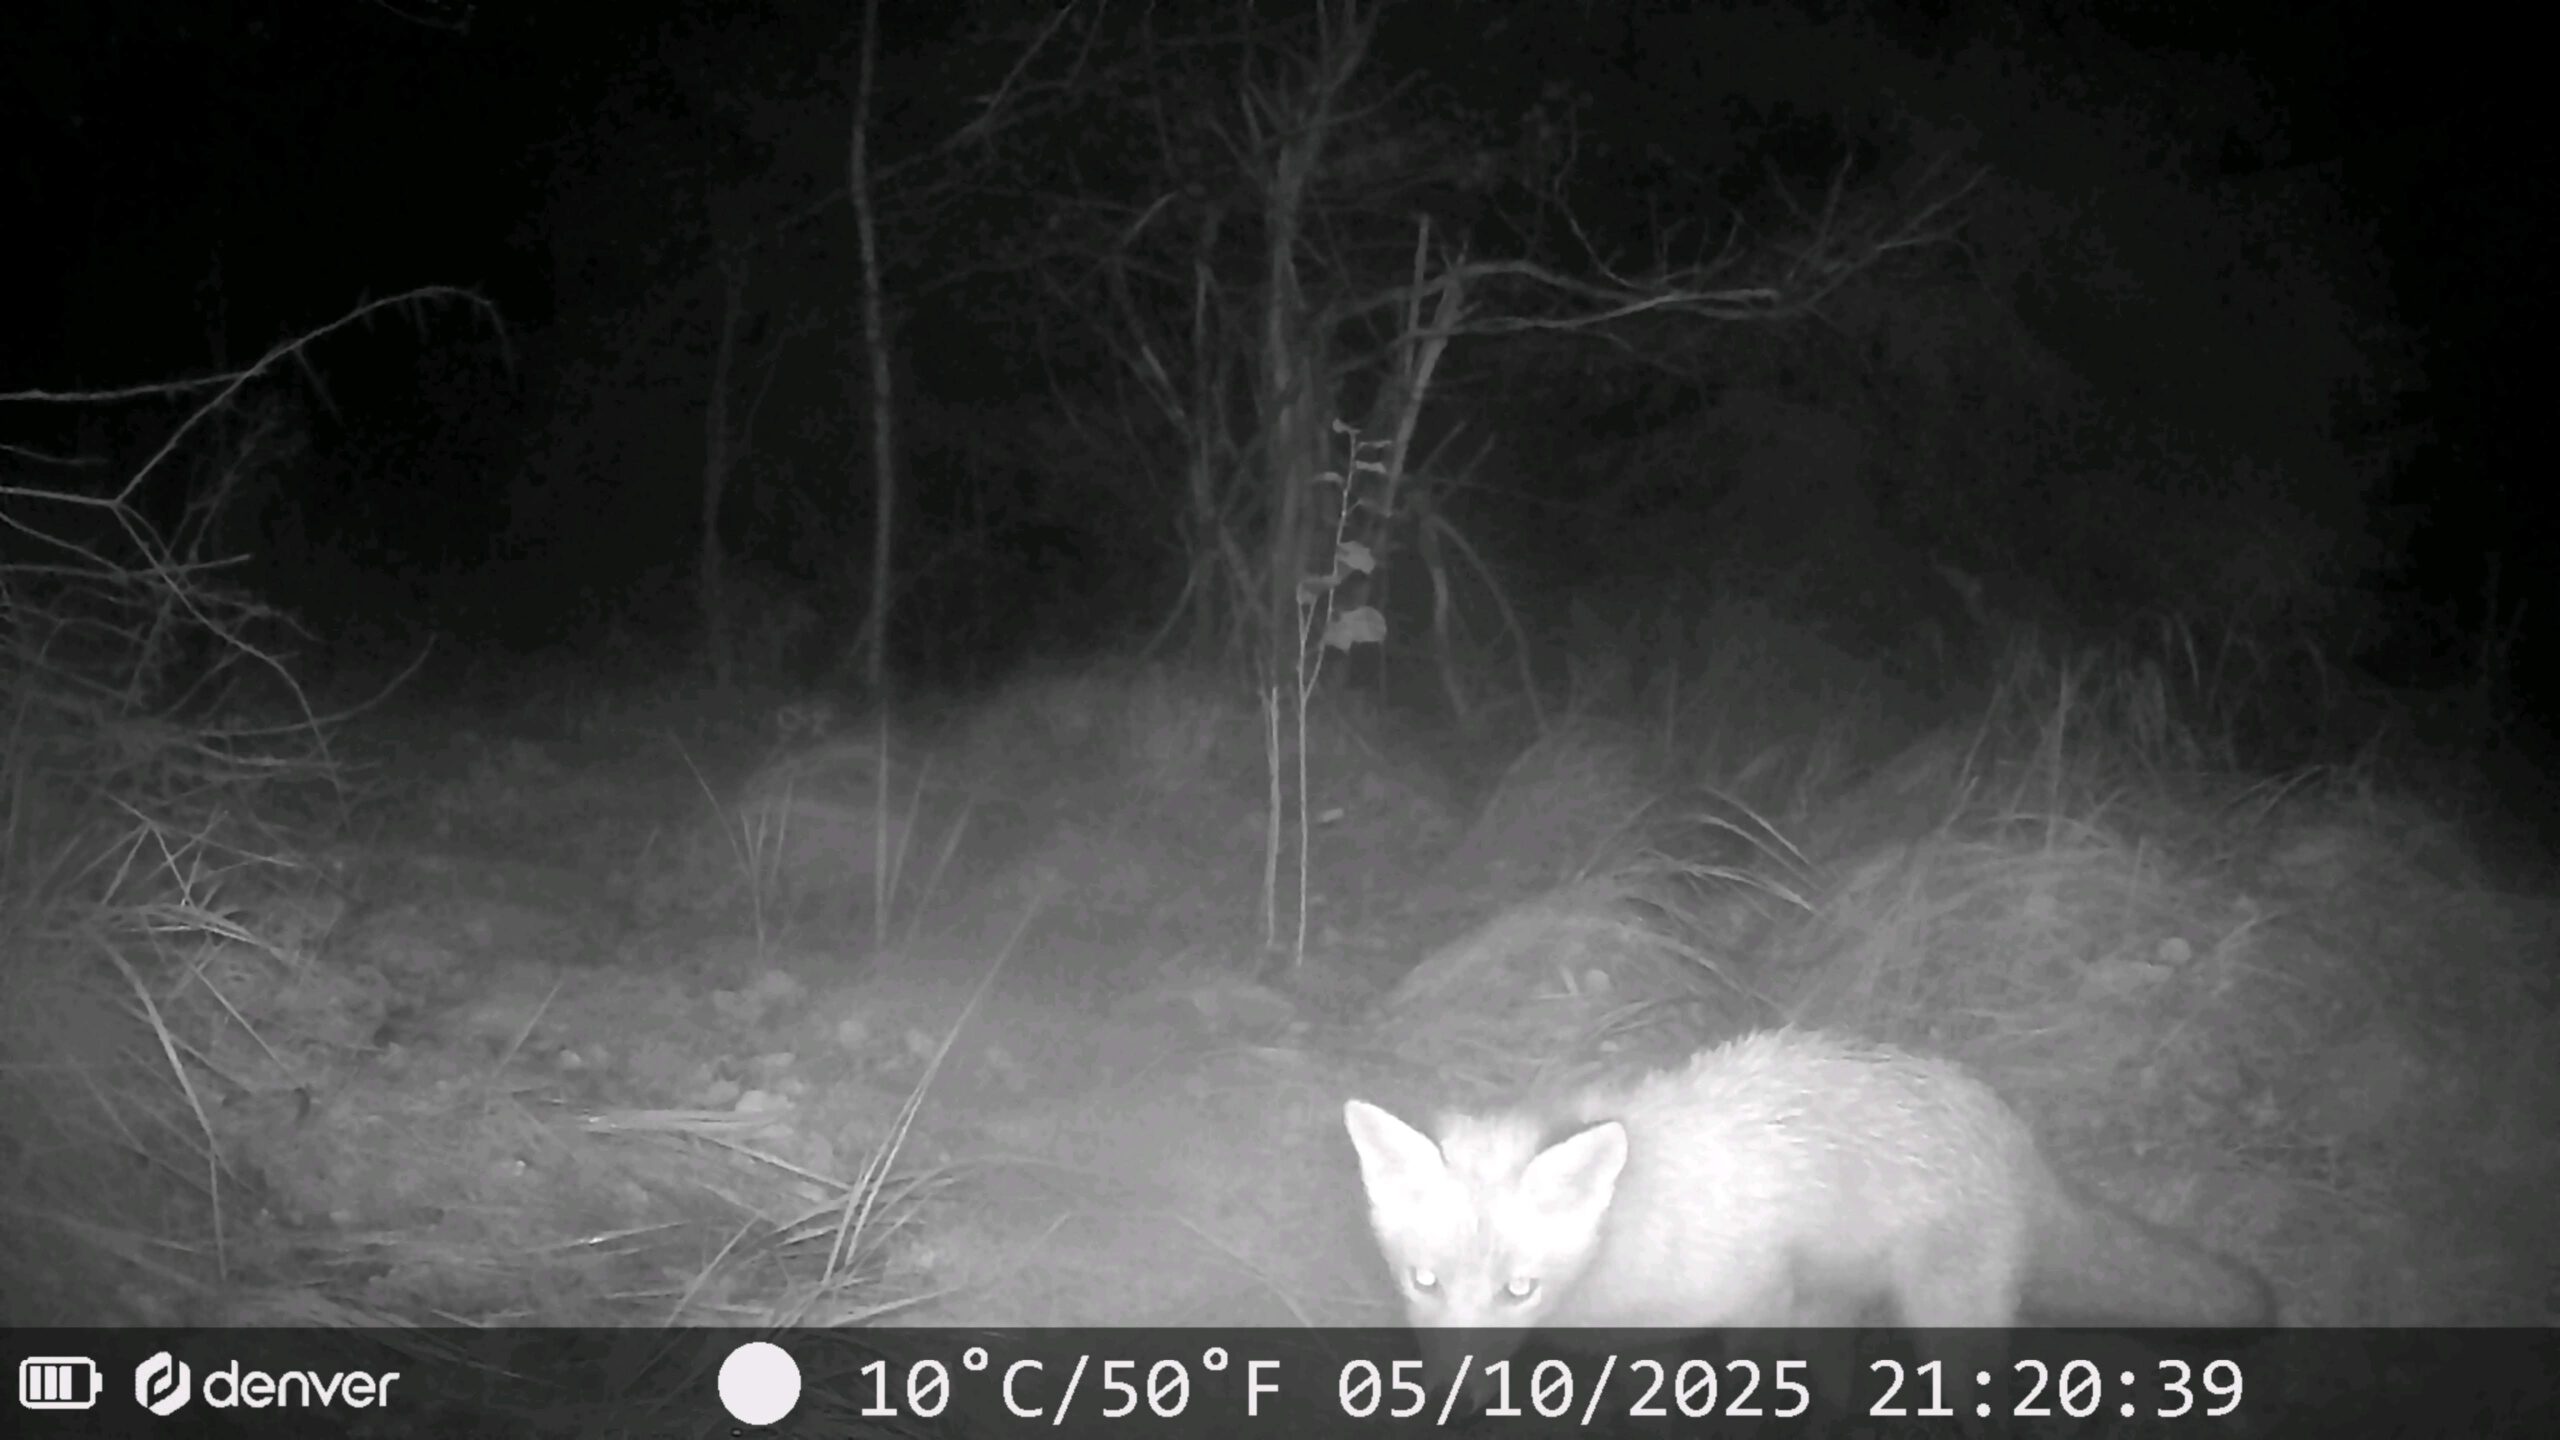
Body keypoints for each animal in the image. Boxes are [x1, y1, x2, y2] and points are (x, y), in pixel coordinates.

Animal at [1342, 1029, 2275, 1394]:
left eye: (1518, 1290)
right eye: (1423, 1282)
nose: (1450, 1398)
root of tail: (2011, 1129)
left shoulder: (1754, 1302)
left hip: (1946, 1321)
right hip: (1838, 1308)